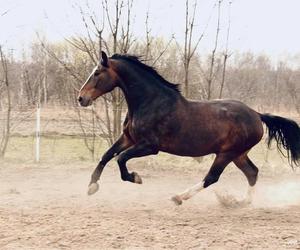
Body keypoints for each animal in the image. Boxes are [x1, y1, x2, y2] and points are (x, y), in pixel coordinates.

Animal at [78, 50, 300, 205]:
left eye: (97, 73)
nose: (81, 98)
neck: (150, 102)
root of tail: (256, 114)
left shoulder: (149, 146)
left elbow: (120, 158)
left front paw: (136, 178)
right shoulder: (128, 138)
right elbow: (106, 156)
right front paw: (91, 187)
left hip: (227, 153)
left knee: (212, 177)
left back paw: (179, 197)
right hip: (238, 154)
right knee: (252, 172)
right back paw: (240, 203)